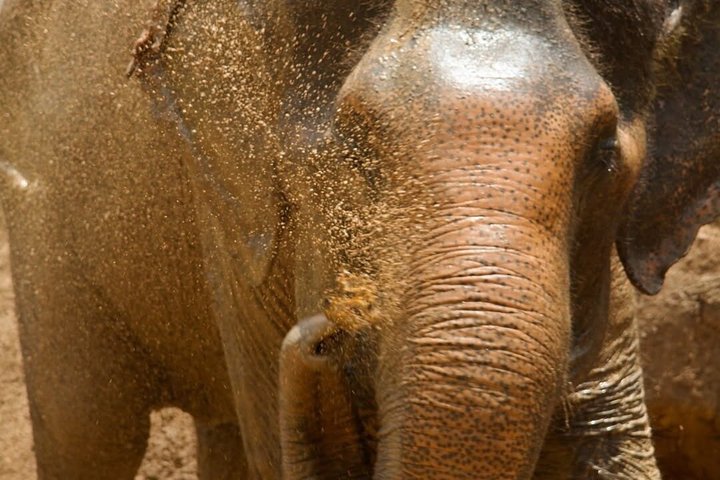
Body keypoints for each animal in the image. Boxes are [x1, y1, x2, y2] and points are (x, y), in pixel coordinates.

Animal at [0, 0, 718, 479]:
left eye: (603, 157)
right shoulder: (240, 222)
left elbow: (611, 439)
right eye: (354, 151)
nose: (329, 327)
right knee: (88, 431)